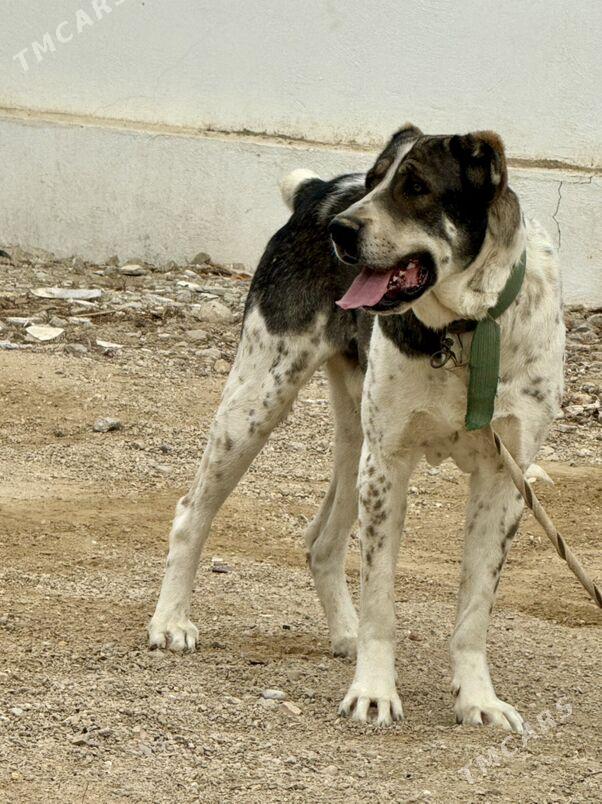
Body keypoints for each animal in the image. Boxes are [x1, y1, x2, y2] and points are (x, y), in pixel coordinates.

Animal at [148, 124, 565, 733]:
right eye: (374, 181)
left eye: (416, 187)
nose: (339, 231)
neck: (464, 332)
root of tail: (318, 192)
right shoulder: (390, 463)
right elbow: (381, 600)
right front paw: (374, 692)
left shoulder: (503, 479)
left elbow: (473, 610)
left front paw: (478, 700)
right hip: (257, 403)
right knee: (190, 513)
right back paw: (171, 619)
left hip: (354, 443)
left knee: (321, 541)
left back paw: (343, 632)